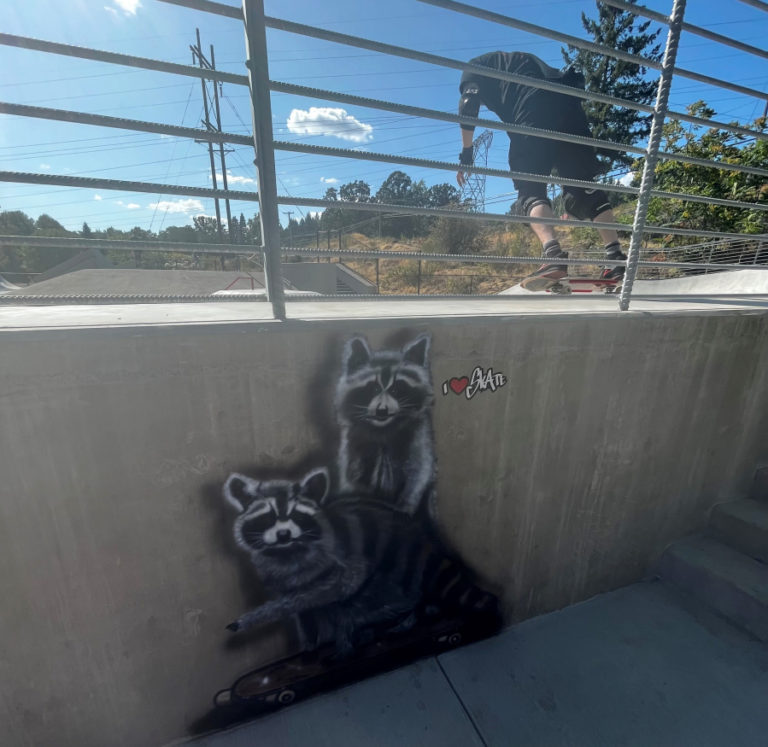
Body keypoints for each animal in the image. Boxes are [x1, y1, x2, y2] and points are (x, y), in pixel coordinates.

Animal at [222, 470, 498, 656]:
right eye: (268, 516)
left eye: (294, 514)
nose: (283, 534)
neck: (286, 551)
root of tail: (425, 542)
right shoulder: (282, 579)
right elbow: (303, 613)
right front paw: (309, 643)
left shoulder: (340, 562)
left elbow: (330, 594)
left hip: (397, 561)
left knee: (397, 593)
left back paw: (396, 617)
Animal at [334, 336, 436, 516]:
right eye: (374, 388)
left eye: (396, 390)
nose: (382, 411)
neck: (383, 428)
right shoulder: (354, 446)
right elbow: (353, 478)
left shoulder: (418, 439)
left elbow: (418, 472)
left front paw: (405, 506)